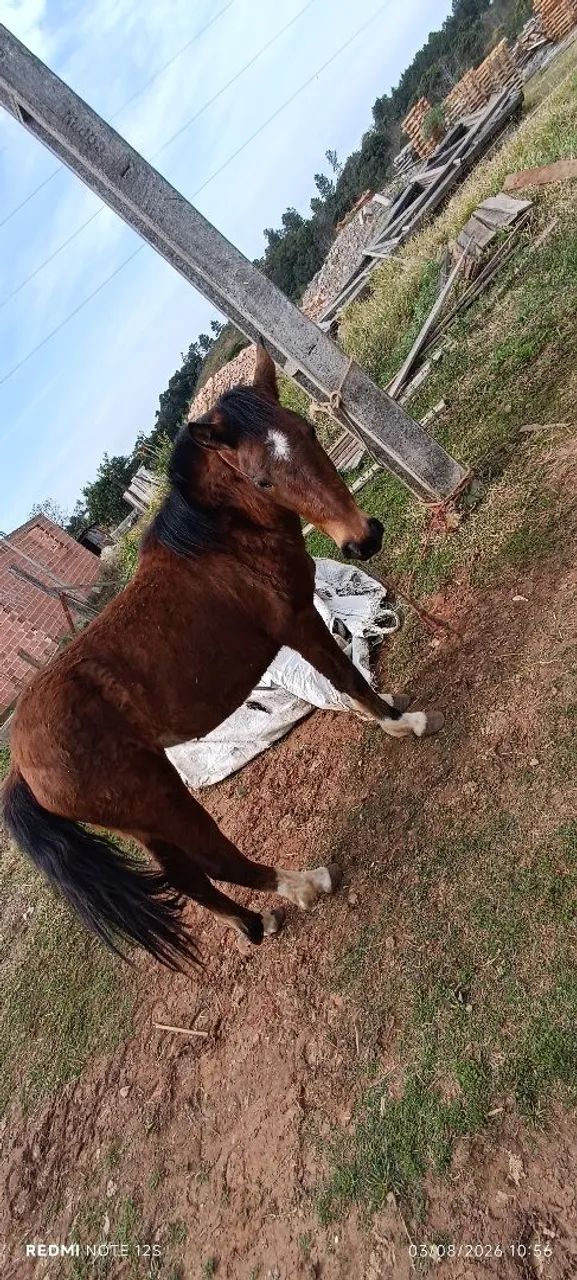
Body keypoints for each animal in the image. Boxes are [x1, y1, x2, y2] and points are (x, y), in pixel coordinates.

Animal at [3, 346, 443, 970]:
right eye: (261, 477)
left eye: (309, 432)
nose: (363, 539)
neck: (221, 544)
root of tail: (21, 763)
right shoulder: (297, 621)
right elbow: (344, 677)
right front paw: (404, 723)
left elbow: (345, 680)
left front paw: (390, 709)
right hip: (160, 801)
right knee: (214, 861)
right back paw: (305, 886)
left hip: (144, 820)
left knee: (190, 879)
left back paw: (256, 923)